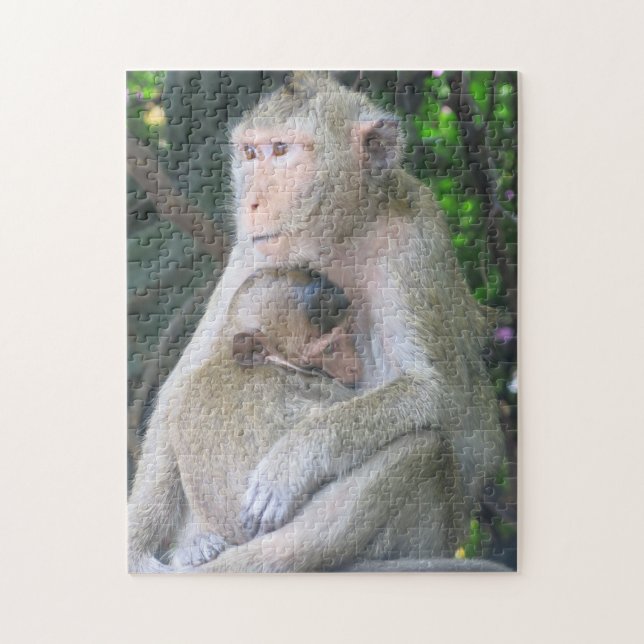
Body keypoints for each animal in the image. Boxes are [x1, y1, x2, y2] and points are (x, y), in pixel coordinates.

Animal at [128, 71, 505, 572]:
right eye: (251, 153)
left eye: (282, 150)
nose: (251, 202)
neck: (339, 234)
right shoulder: (254, 250)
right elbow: (181, 386)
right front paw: (136, 546)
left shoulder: (415, 242)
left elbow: (437, 395)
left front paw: (296, 458)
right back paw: (198, 545)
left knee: (420, 449)